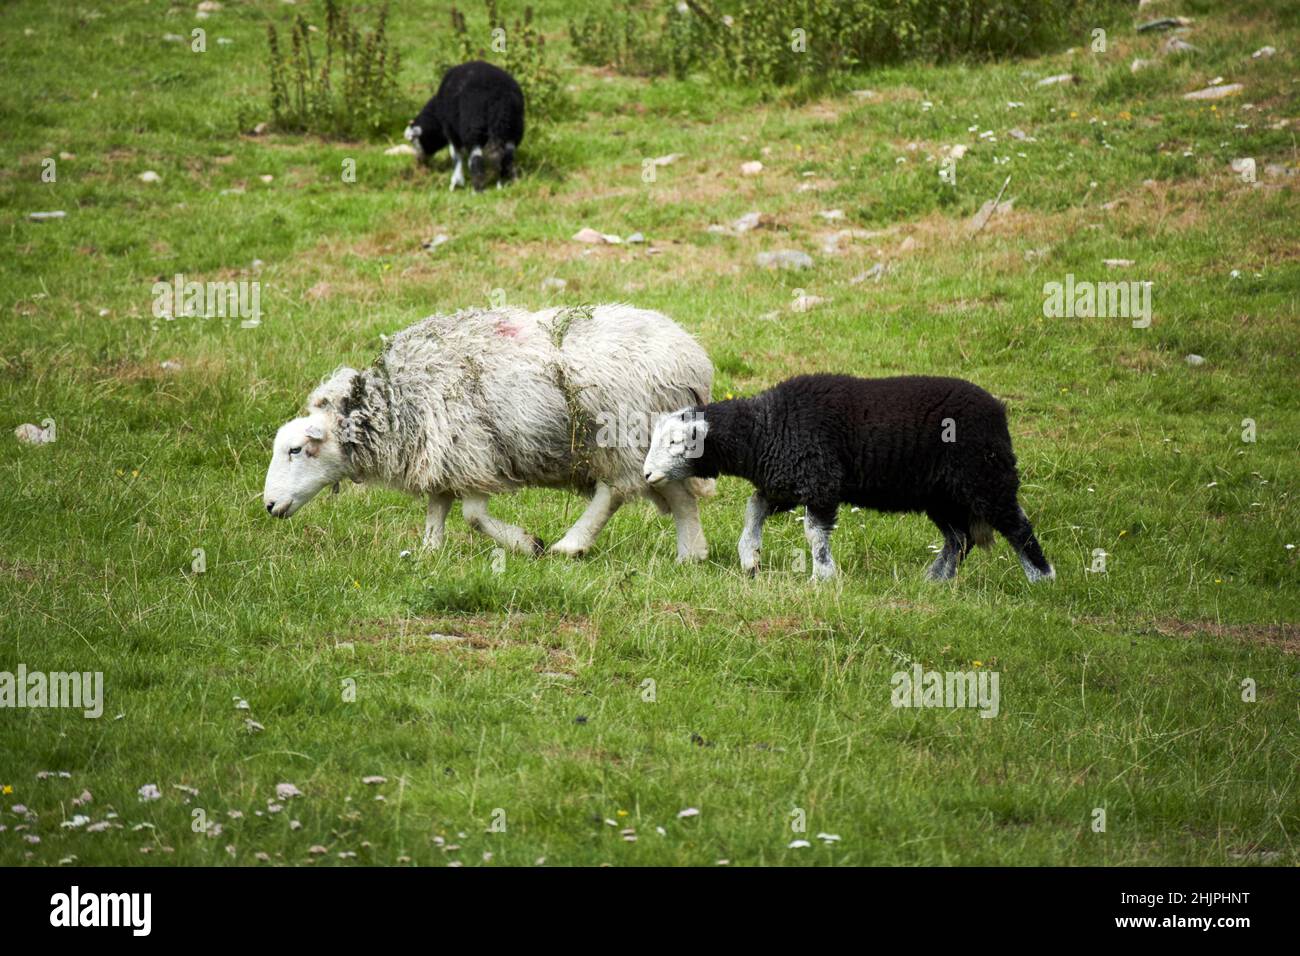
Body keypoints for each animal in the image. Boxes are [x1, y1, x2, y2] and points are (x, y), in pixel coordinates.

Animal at [263, 304, 714, 562]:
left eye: (296, 450)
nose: (268, 505)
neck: (393, 404)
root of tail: (692, 358)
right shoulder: (442, 456)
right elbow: (437, 509)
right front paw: (428, 554)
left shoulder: (472, 451)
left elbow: (474, 516)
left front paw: (526, 544)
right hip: (654, 445)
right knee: (677, 495)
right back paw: (691, 555)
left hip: (620, 435)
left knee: (615, 490)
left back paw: (571, 545)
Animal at [403, 60, 525, 191]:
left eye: (414, 140)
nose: (419, 161)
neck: (437, 116)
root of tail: (500, 100)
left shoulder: (451, 130)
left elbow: (456, 155)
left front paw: (455, 182)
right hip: (513, 128)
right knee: (507, 156)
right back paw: (506, 183)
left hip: (473, 127)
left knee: (476, 157)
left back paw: (478, 189)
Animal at [642, 373, 1054, 583]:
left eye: (677, 441)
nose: (647, 474)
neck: (765, 429)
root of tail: (998, 410)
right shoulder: (788, 481)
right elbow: (754, 506)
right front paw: (750, 558)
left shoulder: (820, 481)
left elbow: (814, 533)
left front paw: (822, 577)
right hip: (942, 494)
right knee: (959, 538)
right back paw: (935, 581)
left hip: (984, 476)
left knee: (1016, 525)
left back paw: (1042, 580)